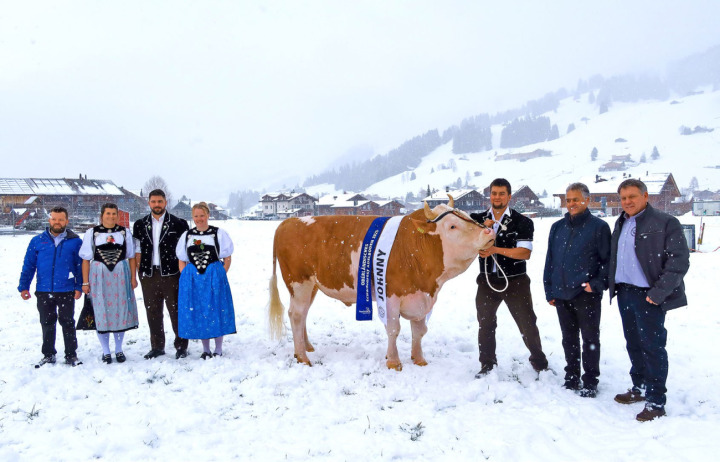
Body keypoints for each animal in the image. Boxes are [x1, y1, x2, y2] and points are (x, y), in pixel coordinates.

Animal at [270, 197, 496, 370]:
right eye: (452, 225)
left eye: (467, 216)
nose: (489, 232)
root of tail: (289, 221)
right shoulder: (390, 296)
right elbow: (394, 329)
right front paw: (394, 361)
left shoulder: (421, 296)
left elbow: (419, 331)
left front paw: (419, 359)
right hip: (299, 283)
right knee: (296, 315)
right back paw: (302, 356)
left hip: (312, 287)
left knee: (303, 314)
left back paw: (306, 347)